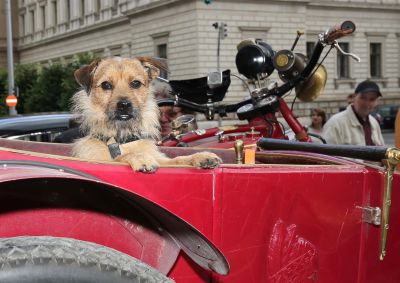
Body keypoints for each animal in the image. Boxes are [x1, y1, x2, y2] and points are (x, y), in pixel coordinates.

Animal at [72, 56, 222, 173]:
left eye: (136, 83)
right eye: (106, 85)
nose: (124, 105)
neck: (121, 139)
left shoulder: (162, 160)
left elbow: (177, 159)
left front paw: (200, 156)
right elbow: (120, 157)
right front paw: (140, 157)